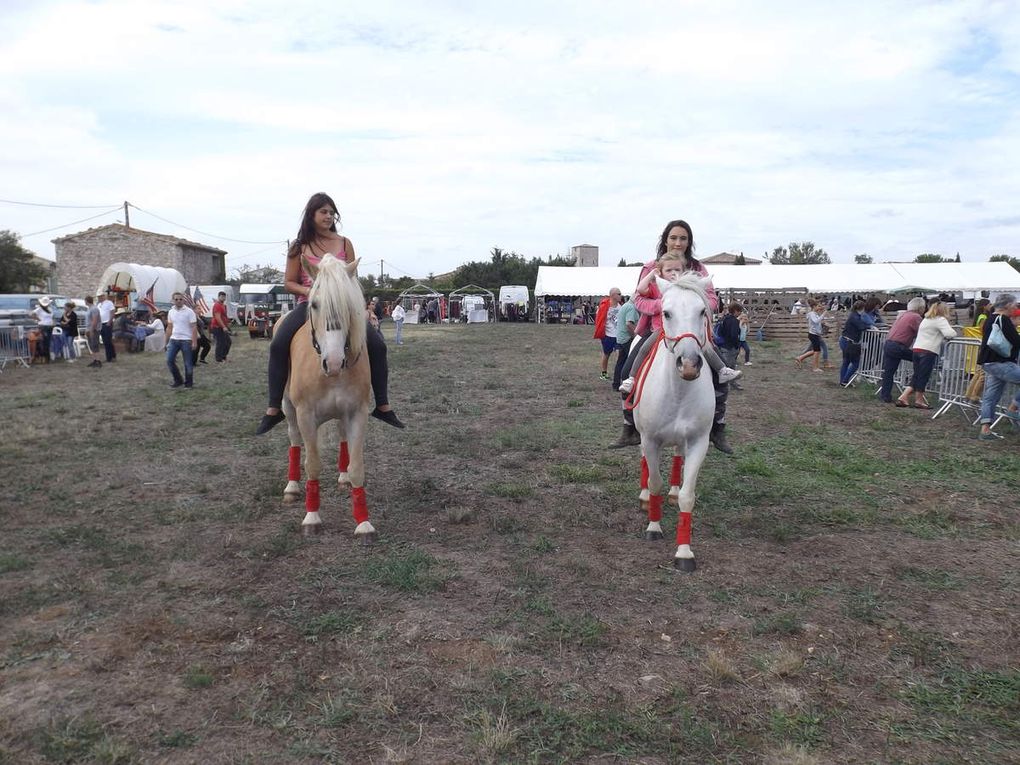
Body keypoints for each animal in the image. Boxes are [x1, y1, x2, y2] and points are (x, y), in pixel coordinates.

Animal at [277, 255, 377, 542]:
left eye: (349, 307)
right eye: (314, 304)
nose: (333, 363)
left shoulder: (357, 413)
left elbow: (357, 466)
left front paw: (363, 523)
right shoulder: (306, 416)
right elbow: (312, 465)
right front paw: (312, 518)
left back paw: (342, 478)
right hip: (288, 408)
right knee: (293, 440)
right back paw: (291, 487)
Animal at [628, 273, 718, 571]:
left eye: (702, 311)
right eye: (665, 313)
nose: (688, 364)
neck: (678, 391)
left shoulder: (699, 442)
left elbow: (688, 495)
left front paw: (684, 553)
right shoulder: (651, 439)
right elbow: (655, 480)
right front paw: (653, 527)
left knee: (678, 455)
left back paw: (673, 492)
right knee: (644, 460)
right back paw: (646, 499)